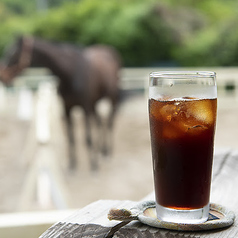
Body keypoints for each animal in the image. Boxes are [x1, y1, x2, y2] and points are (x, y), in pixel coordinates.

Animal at [0, 35, 121, 171]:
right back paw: (100, 150)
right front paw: (72, 163)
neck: (71, 73)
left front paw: (93, 164)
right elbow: (71, 137)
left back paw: (107, 151)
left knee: (110, 122)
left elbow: (87, 138)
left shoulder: (85, 108)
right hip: (94, 103)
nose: (2, 76)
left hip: (111, 98)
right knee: (100, 122)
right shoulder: (67, 108)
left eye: (13, 53)